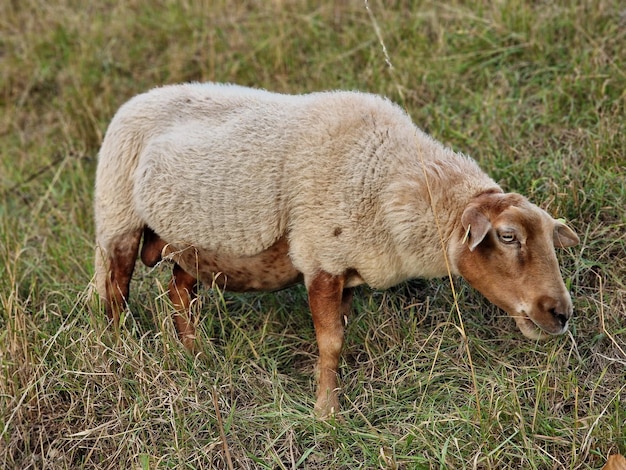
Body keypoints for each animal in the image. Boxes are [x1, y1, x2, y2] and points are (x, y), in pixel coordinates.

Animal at [94, 82, 580, 416]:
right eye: (508, 236)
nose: (561, 314)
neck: (389, 178)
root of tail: (136, 99)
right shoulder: (320, 258)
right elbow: (330, 342)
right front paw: (326, 412)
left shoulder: (349, 268)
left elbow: (339, 337)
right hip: (117, 217)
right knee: (115, 292)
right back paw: (122, 352)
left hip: (193, 243)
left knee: (180, 294)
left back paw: (195, 355)